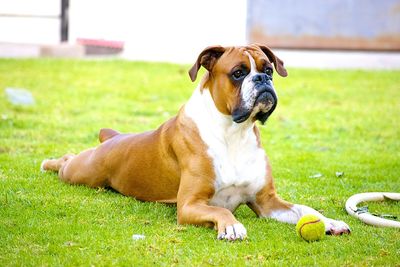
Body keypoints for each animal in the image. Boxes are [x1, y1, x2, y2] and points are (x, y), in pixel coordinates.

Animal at [41, 43, 350, 241]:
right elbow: (219, 209)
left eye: (269, 69)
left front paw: (330, 222)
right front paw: (231, 226)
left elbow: (306, 209)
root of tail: (115, 138)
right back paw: (48, 162)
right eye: (238, 73)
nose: (263, 79)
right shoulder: (189, 205)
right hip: (82, 173)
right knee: (67, 161)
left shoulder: (267, 202)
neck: (233, 133)